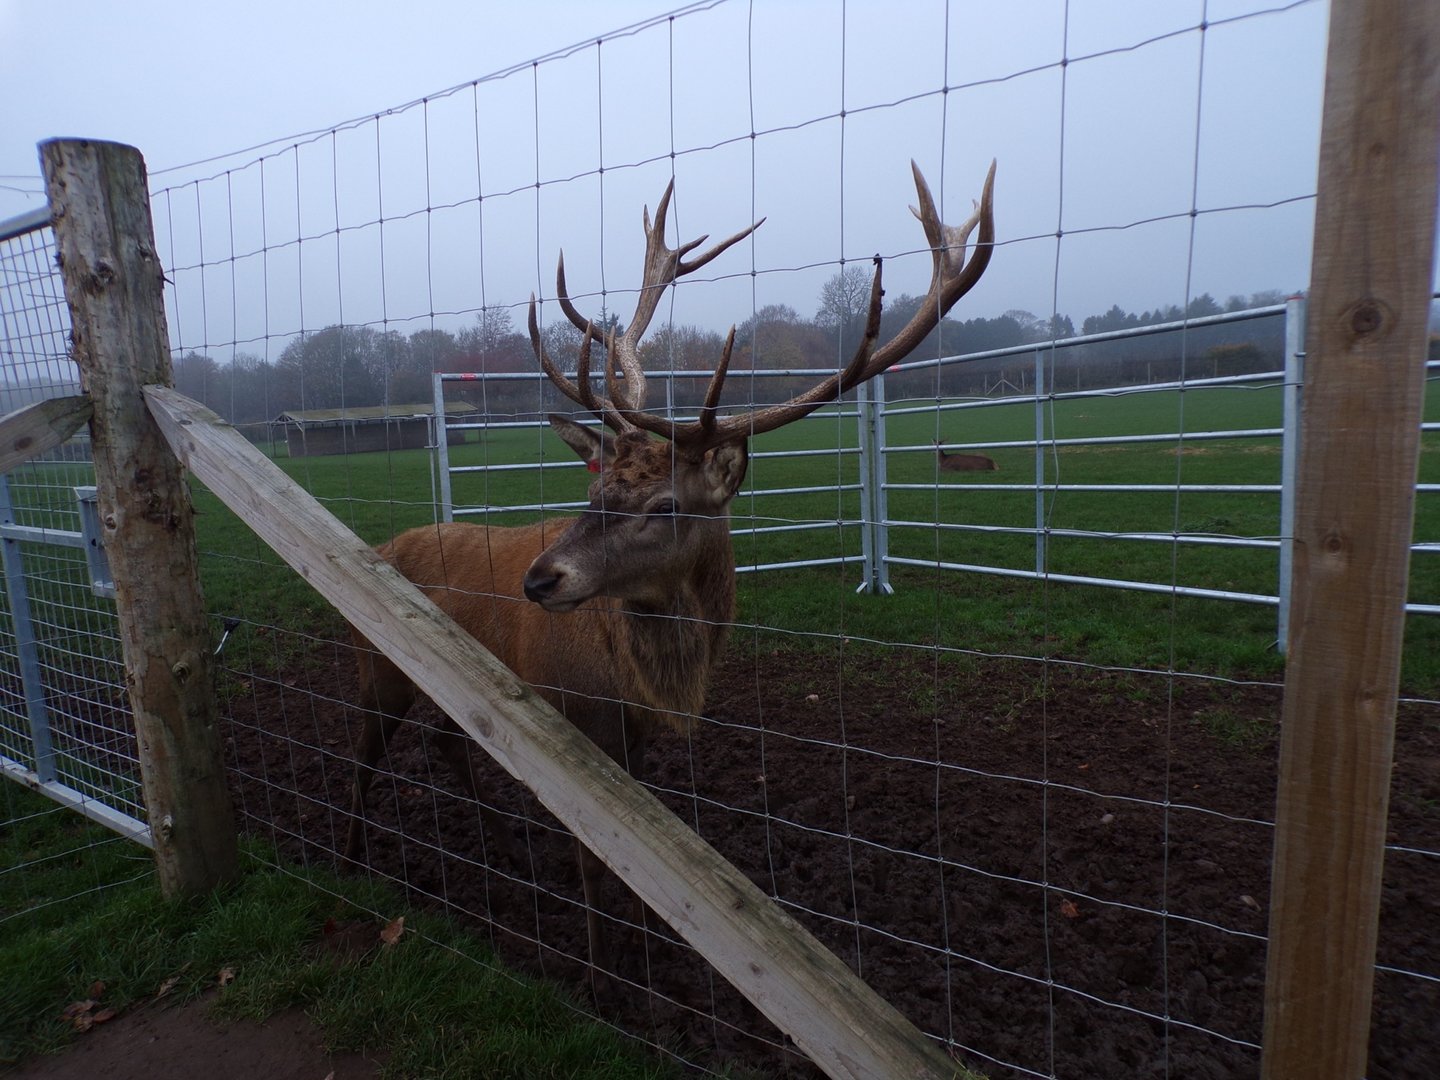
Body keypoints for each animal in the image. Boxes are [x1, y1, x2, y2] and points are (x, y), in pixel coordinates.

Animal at [342, 159, 996, 980]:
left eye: (664, 504)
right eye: (594, 492)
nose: (539, 580)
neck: (640, 680)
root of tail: (376, 548)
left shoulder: (634, 737)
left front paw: (641, 936)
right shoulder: (574, 717)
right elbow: (594, 858)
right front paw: (603, 973)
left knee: (448, 743)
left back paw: (502, 848)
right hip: (377, 669)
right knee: (364, 755)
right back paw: (351, 860)